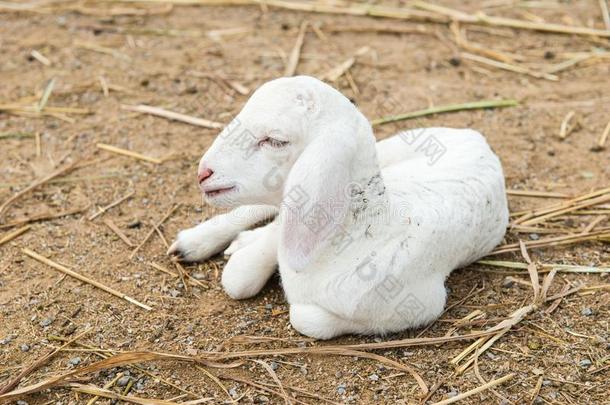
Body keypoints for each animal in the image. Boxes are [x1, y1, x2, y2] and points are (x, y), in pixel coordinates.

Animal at [167, 75, 508, 338]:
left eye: (275, 140)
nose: (203, 173)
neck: (362, 230)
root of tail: (476, 138)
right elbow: (238, 278)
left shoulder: (423, 304)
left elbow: (303, 317)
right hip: (391, 149)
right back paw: (196, 241)